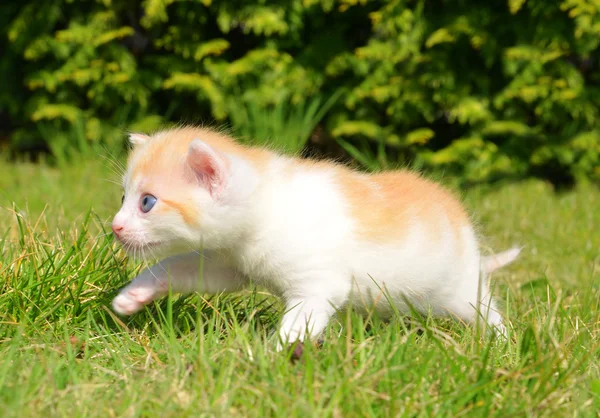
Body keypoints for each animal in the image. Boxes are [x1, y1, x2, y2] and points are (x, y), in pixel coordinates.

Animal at [111, 126, 520, 342]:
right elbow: (175, 268)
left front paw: (270, 360)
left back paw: (501, 343)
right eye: (123, 197)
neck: (266, 204)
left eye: (147, 203)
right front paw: (134, 295)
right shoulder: (229, 263)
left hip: (459, 290)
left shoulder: (319, 285)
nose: (115, 227)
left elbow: (298, 324)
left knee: (486, 310)